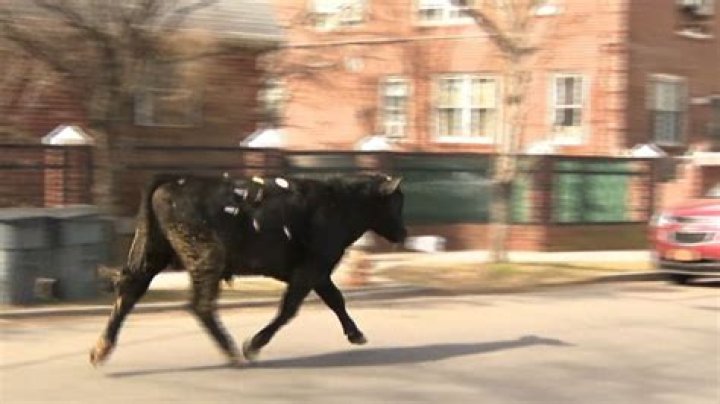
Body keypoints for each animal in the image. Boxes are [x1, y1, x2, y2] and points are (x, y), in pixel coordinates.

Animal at [89, 173, 407, 366]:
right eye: (397, 202)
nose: (404, 233)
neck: (340, 202)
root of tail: (174, 181)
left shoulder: (317, 272)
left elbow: (336, 300)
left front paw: (355, 333)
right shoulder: (311, 269)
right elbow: (290, 308)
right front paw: (254, 344)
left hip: (153, 254)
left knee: (130, 291)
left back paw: (101, 348)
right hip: (207, 257)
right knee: (200, 305)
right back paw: (231, 351)